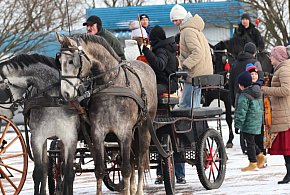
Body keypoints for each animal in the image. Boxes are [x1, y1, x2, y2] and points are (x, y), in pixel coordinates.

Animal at [0, 53, 79, 195]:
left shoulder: (70, 137)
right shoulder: (37, 137)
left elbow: (69, 172)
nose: (4, 113)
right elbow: (38, 171)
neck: (53, 99)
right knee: (46, 166)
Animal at [56, 34, 156, 194]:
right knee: (132, 160)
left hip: (145, 127)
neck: (111, 85)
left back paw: (138, 189)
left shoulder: (124, 132)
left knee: (140, 161)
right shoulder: (97, 133)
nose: (65, 94)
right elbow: (100, 170)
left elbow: (126, 169)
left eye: (72, 61)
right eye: (59, 62)